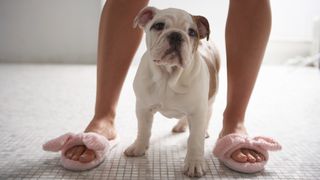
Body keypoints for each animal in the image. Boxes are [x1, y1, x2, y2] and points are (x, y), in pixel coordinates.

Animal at [124, 6, 219, 177]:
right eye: (158, 25)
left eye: (192, 32)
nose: (176, 35)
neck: (168, 76)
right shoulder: (143, 108)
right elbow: (143, 129)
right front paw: (139, 147)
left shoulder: (197, 111)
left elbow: (195, 140)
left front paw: (194, 163)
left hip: (209, 102)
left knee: (206, 117)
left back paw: (203, 131)